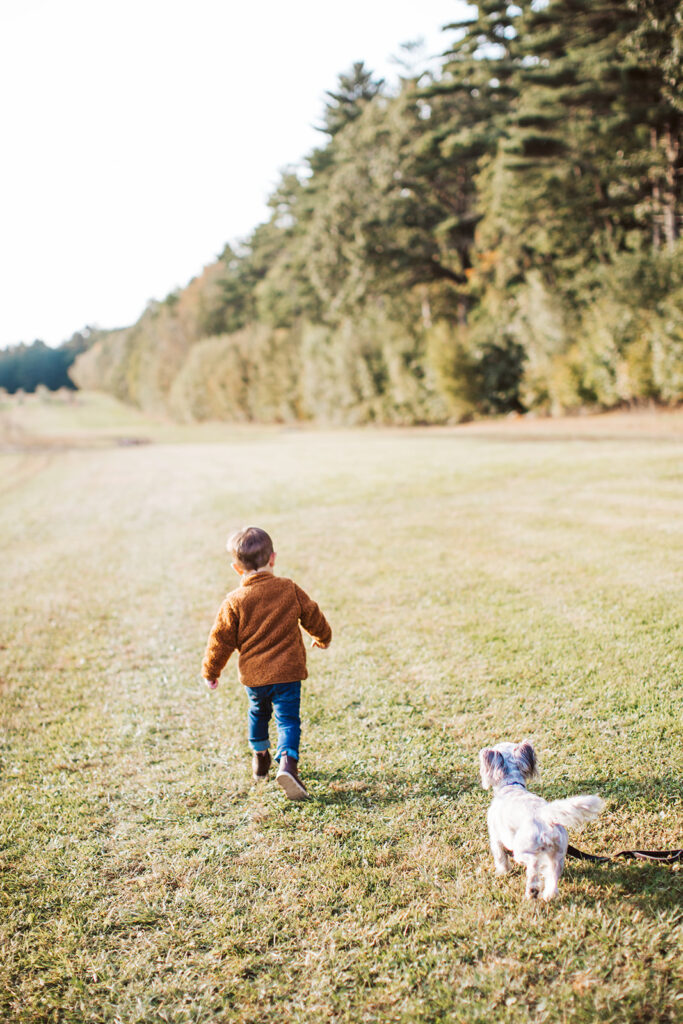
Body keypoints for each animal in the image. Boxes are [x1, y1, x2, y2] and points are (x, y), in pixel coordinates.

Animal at [481, 741, 602, 901]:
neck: (511, 786)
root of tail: (545, 816)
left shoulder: (495, 839)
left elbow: (500, 857)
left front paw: (502, 872)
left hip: (522, 850)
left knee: (533, 864)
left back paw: (532, 891)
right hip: (557, 856)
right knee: (552, 877)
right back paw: (549, 895)